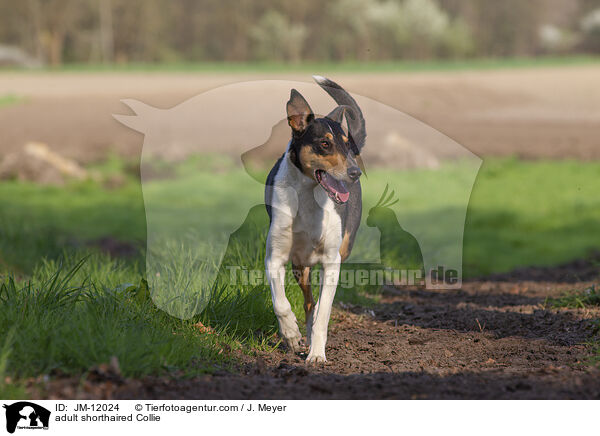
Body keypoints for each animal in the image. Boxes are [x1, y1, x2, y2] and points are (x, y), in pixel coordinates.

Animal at [266, 76, 366, 362]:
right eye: (325, 143)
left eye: (347, 143)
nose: (355, 172)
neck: (308, 195)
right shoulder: (275, 258)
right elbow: (281, 303)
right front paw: (291, 334)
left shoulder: (332, 261)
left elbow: (323, 312)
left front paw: (317, 355)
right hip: (300, 266)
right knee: (309, 300)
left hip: (341, 250)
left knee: (319, 304)